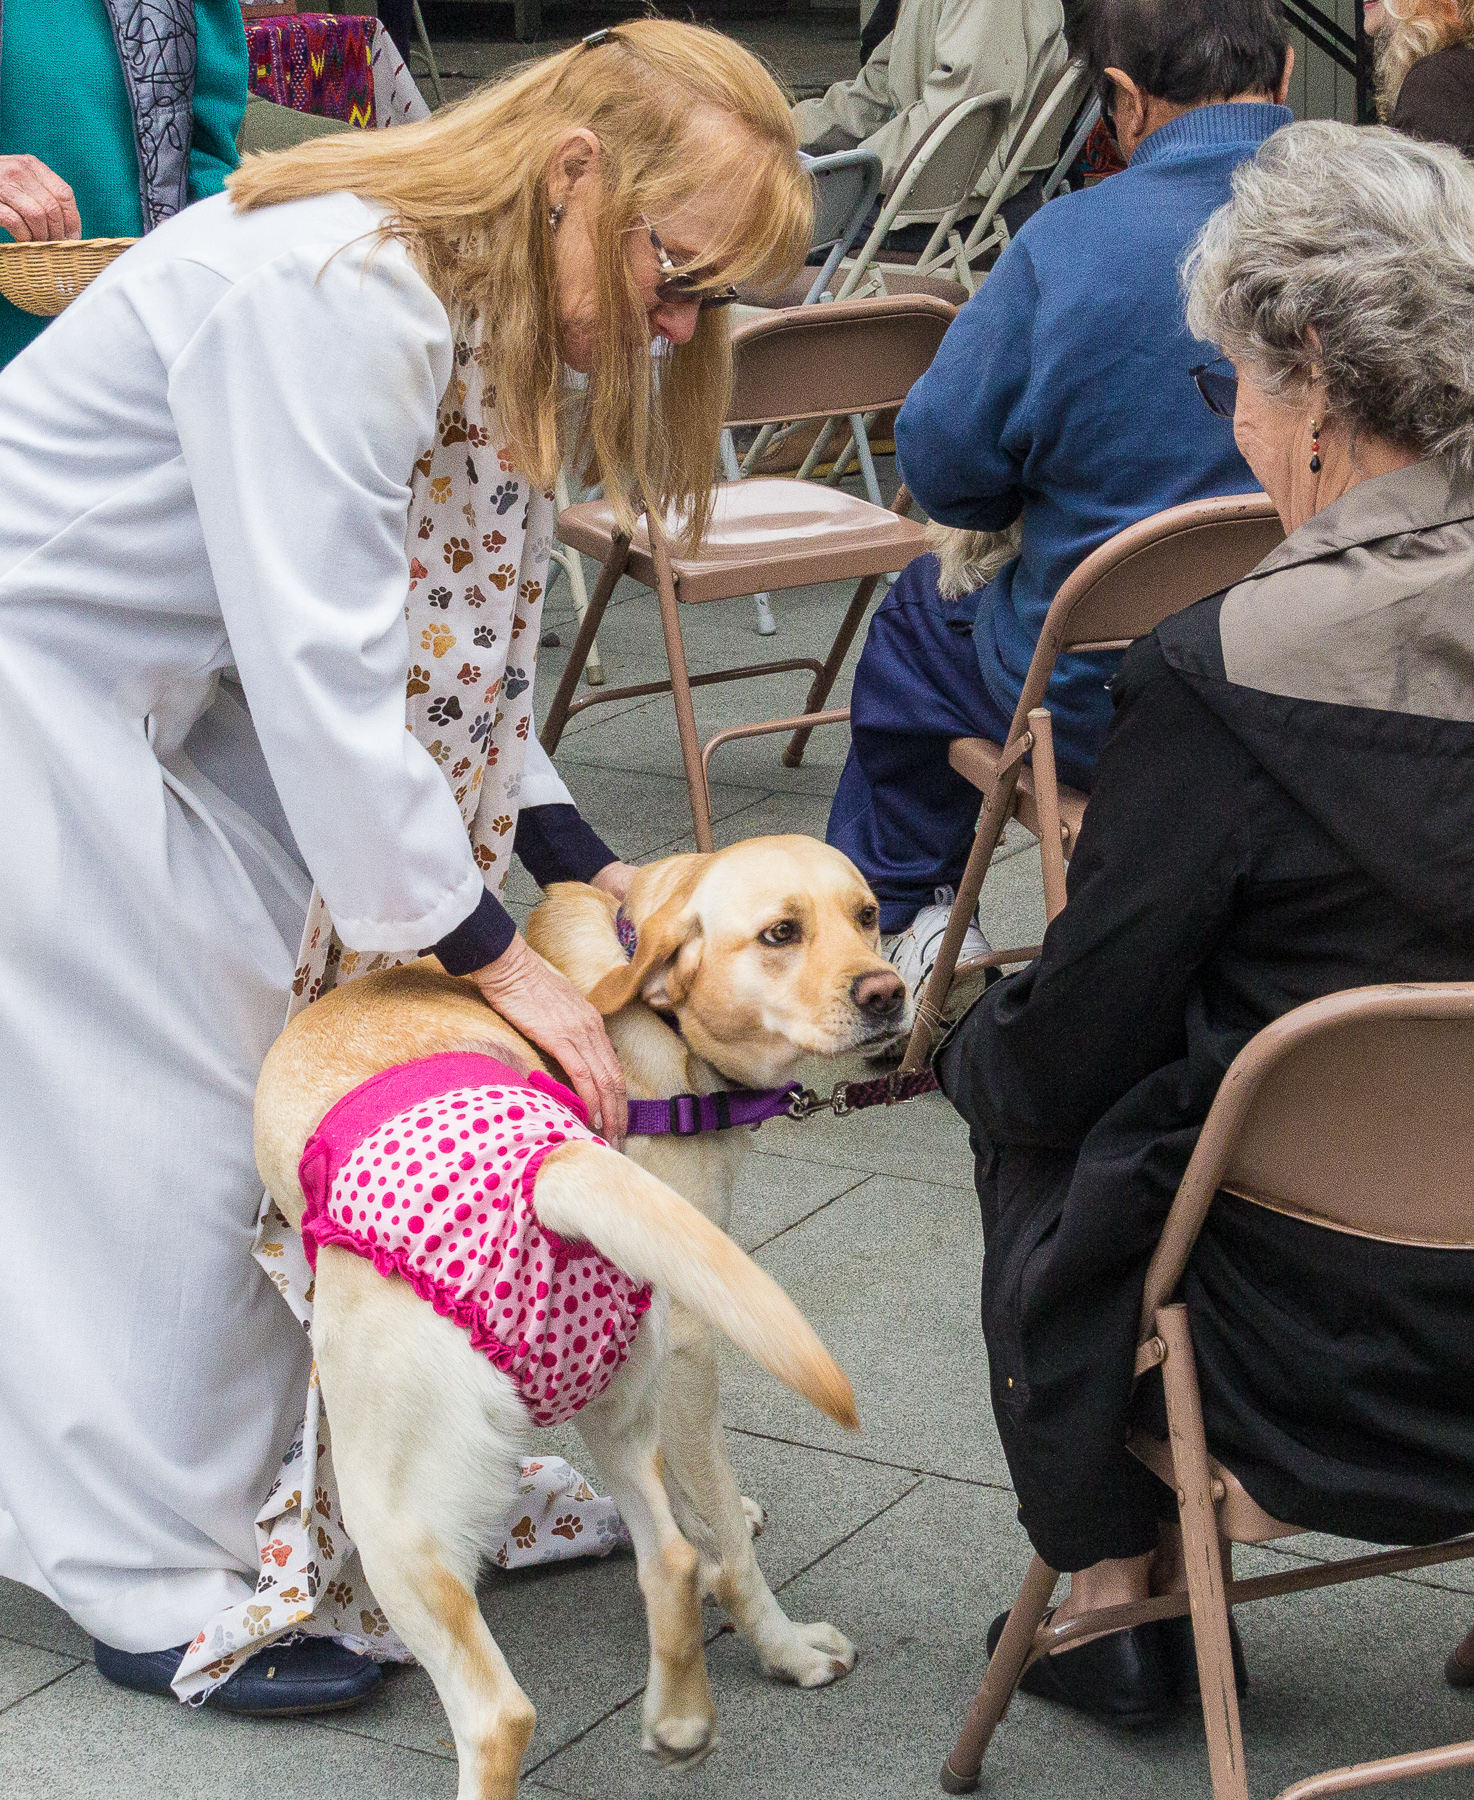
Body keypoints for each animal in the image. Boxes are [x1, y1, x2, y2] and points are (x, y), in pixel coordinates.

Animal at [255, 835, 903, 1792]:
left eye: (866, 915)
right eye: (780, 933)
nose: (888, 993)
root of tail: (545, 1164)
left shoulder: (691, 1348)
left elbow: (718, 1518)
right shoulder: (682, 1350)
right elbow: (705, 1510)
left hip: (394, 1518)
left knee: (500, 1713)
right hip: (603, 1392)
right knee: (669, 1557)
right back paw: (681, 1718)